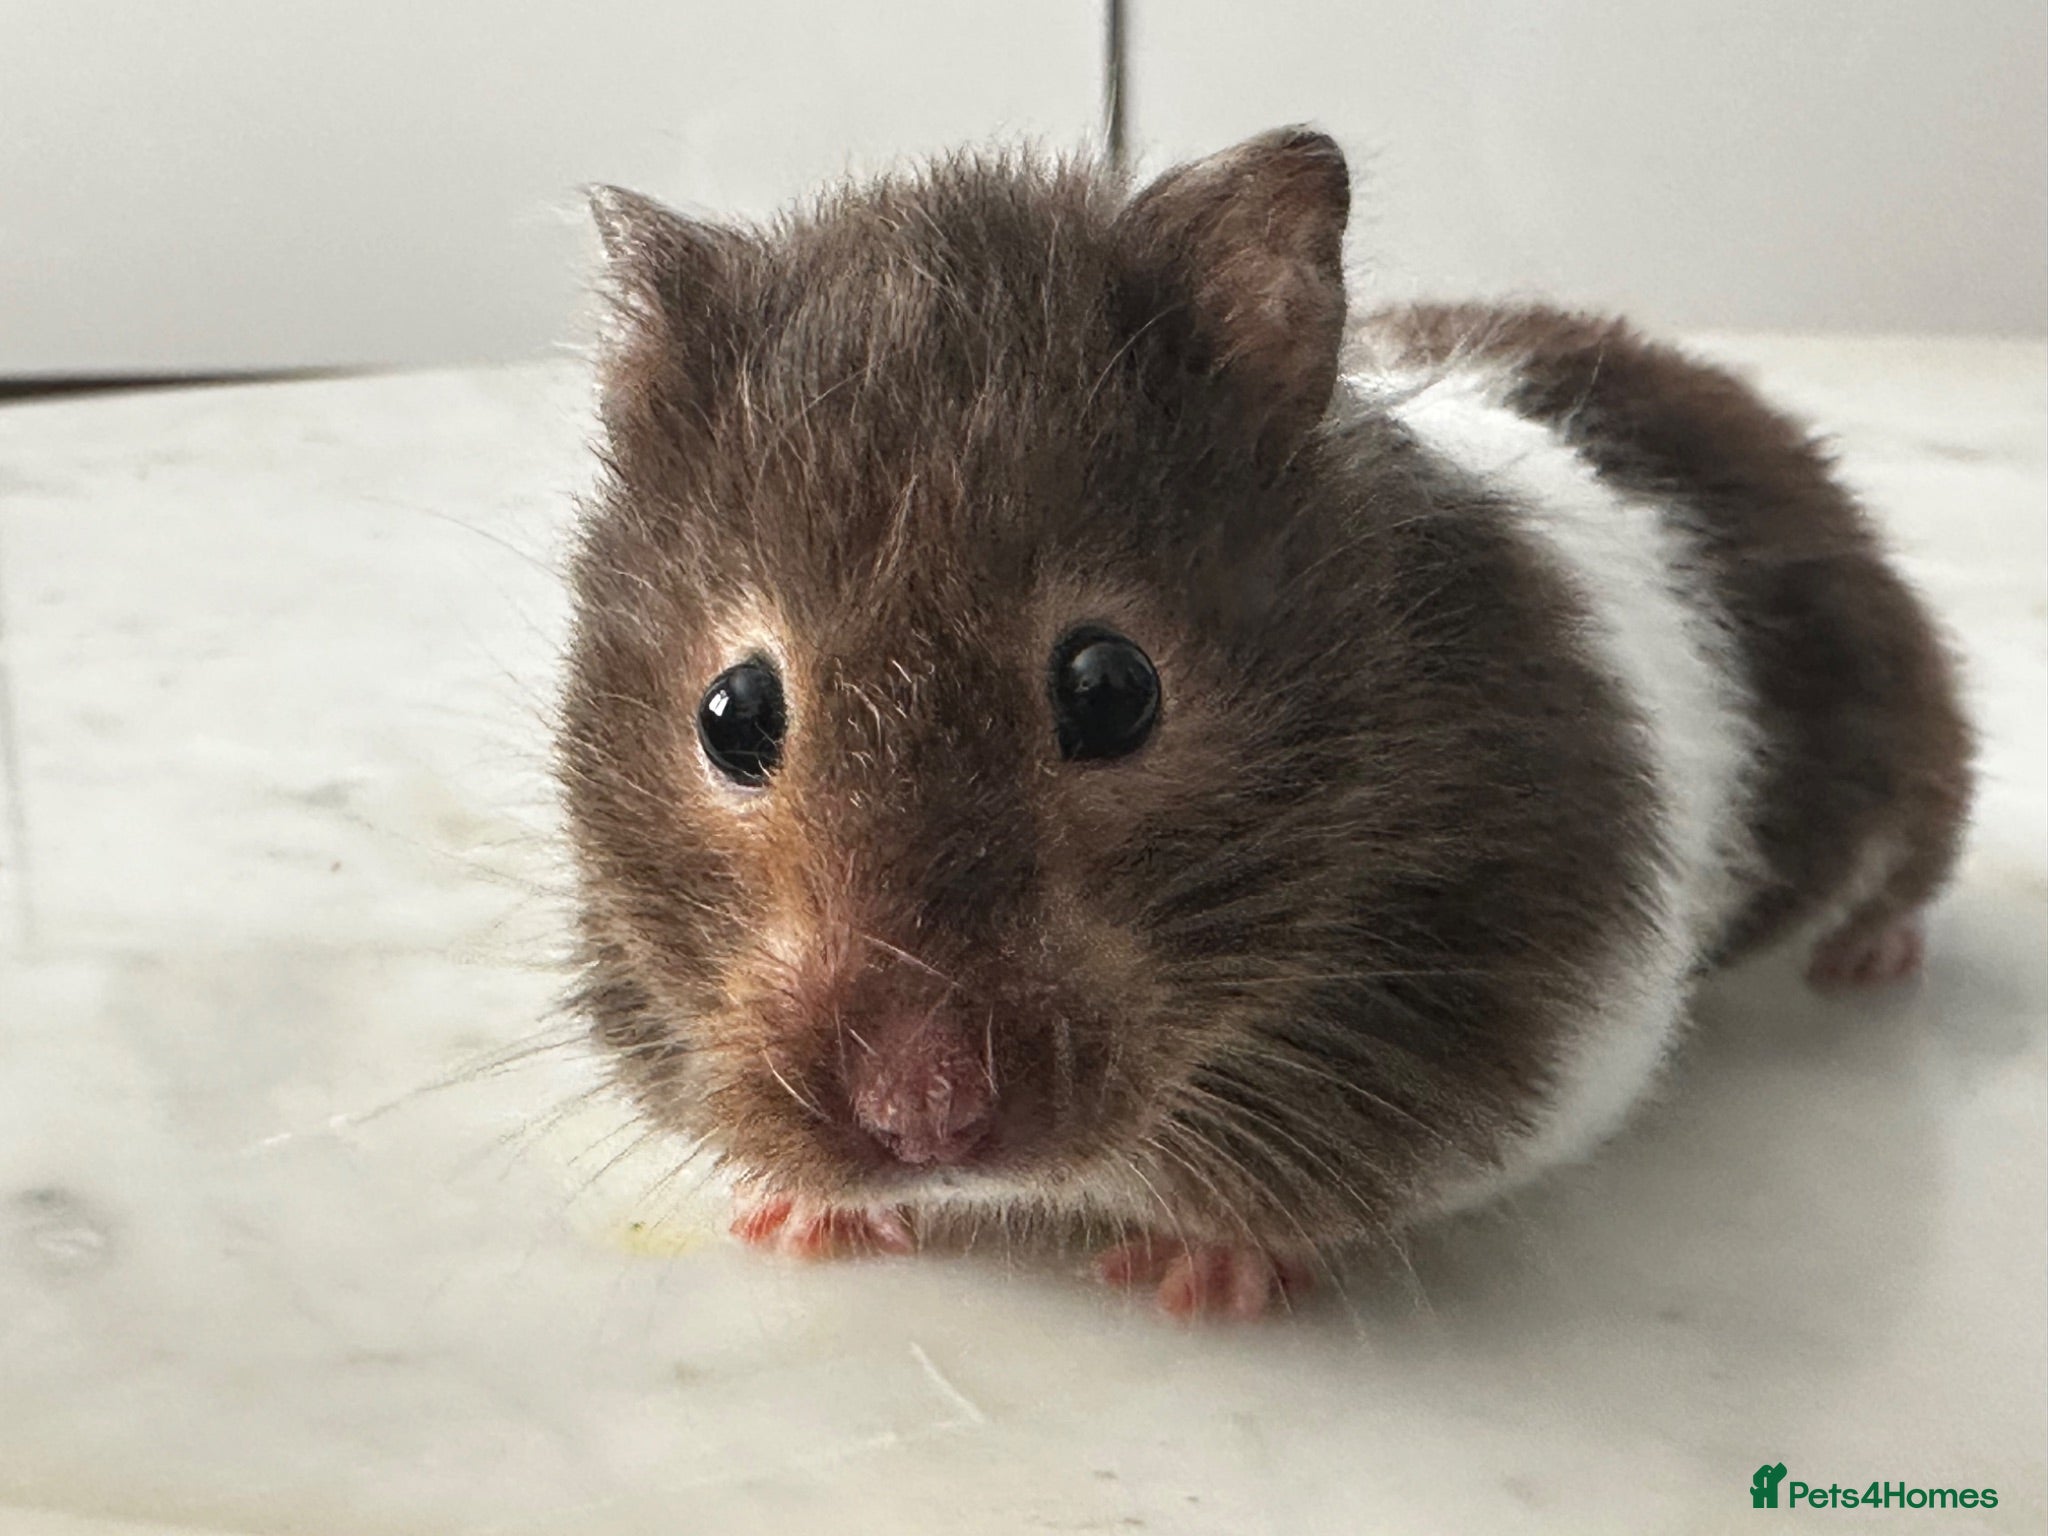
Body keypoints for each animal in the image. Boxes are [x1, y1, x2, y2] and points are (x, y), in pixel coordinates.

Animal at [556, 128, 1973, 1319]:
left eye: (1111, 688)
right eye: (731, 715)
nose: (925, 1125)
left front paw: (1194, 1280)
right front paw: (794, 1222)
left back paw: (1870, 962)